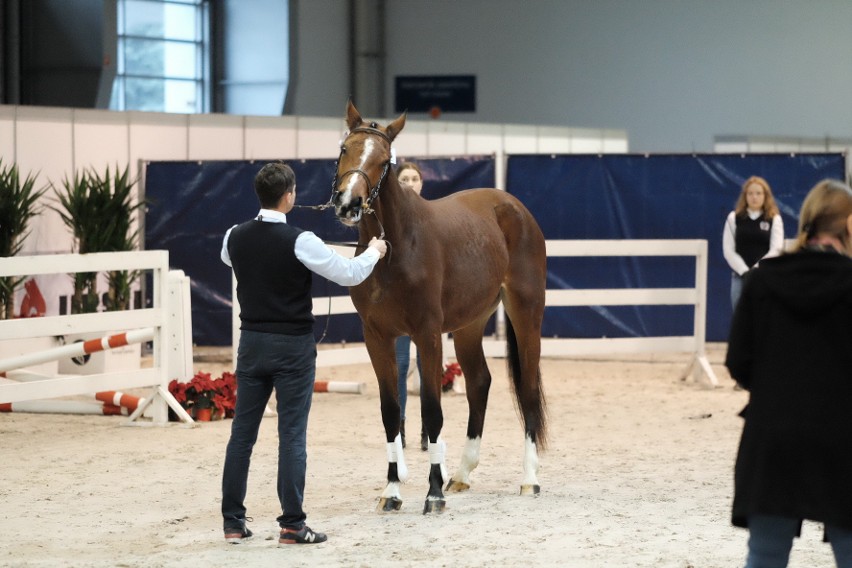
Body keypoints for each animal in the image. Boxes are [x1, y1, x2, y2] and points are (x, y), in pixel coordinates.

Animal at [332, 102, 544, 516]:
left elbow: (431, 410)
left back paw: (529, 479)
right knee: (480, 382)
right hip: (469, 325)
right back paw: (461, 473)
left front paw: (432, 494)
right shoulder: (376, 336)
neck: (397, 246)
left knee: (527, 386)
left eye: (383, 161)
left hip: (527, 313)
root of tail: (515, 208)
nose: (348, 203)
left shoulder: (427, 334)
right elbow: (390, 412)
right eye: (344, 149)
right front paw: (392, 491)